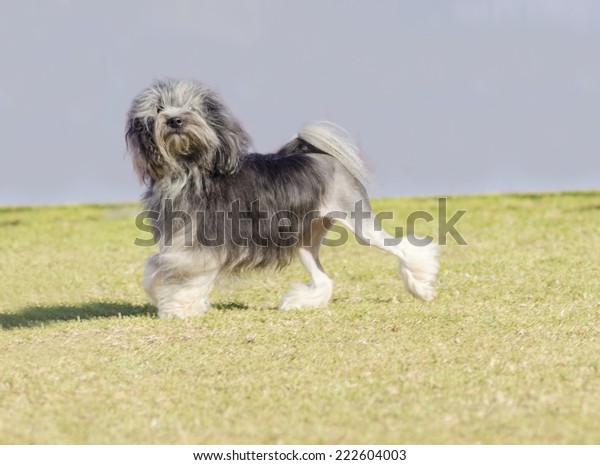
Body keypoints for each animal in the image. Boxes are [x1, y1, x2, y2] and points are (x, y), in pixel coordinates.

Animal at [124, 80, 438, 320]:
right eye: (159, 108)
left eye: (192, 108)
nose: (174, 119)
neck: (190, 169)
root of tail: (323, 157)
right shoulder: (178, 241)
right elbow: (156, 266)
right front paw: (163, 295)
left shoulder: (202, 244)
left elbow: (187, 275)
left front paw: (179, 308)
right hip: (305, 240)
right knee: (324, 279)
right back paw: (298, 302)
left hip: (359, 221)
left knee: (406, 248)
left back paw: (421, 288)